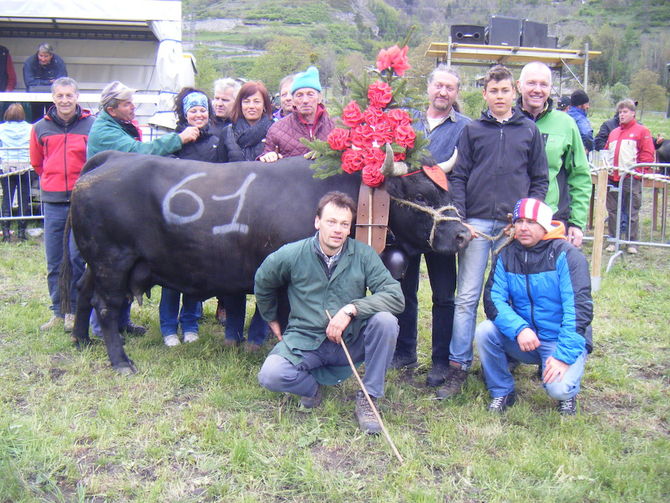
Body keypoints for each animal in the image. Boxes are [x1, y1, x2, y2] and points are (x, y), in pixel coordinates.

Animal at [65, 148, 470, 372]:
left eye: (445, 189)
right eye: (421, 193)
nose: (463, 235)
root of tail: (112, 158)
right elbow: (289, 320)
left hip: (98, 261)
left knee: (83, 291)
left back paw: (81, 340)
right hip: (112, 258)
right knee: (105, 304)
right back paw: (120, 362)